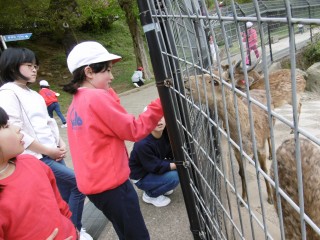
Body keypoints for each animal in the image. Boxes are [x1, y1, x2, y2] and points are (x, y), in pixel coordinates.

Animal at [185, 74, 272, 205]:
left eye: (215, 82)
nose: (185, 80)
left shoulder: (260, 146)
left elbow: (265, 171)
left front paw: (270, 198)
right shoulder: (236, 150)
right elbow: (241, 173)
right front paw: (243, 199)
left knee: (270, 139)